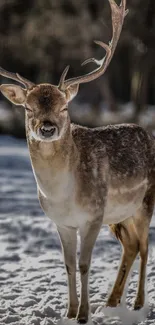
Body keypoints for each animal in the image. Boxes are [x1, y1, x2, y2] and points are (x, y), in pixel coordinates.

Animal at [0, 0, 154, 322]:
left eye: (64, 107)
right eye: (28, 108)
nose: (47, 128)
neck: (62, 195)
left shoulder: (93, 215)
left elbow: (84, 264)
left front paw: (84, 314)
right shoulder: (62, 223)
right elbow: (69, 265)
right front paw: (69, 312)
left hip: (145, 202)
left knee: (146, 247)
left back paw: (136, 304)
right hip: (120, 216)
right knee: (131, 246)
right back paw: (112, 302)